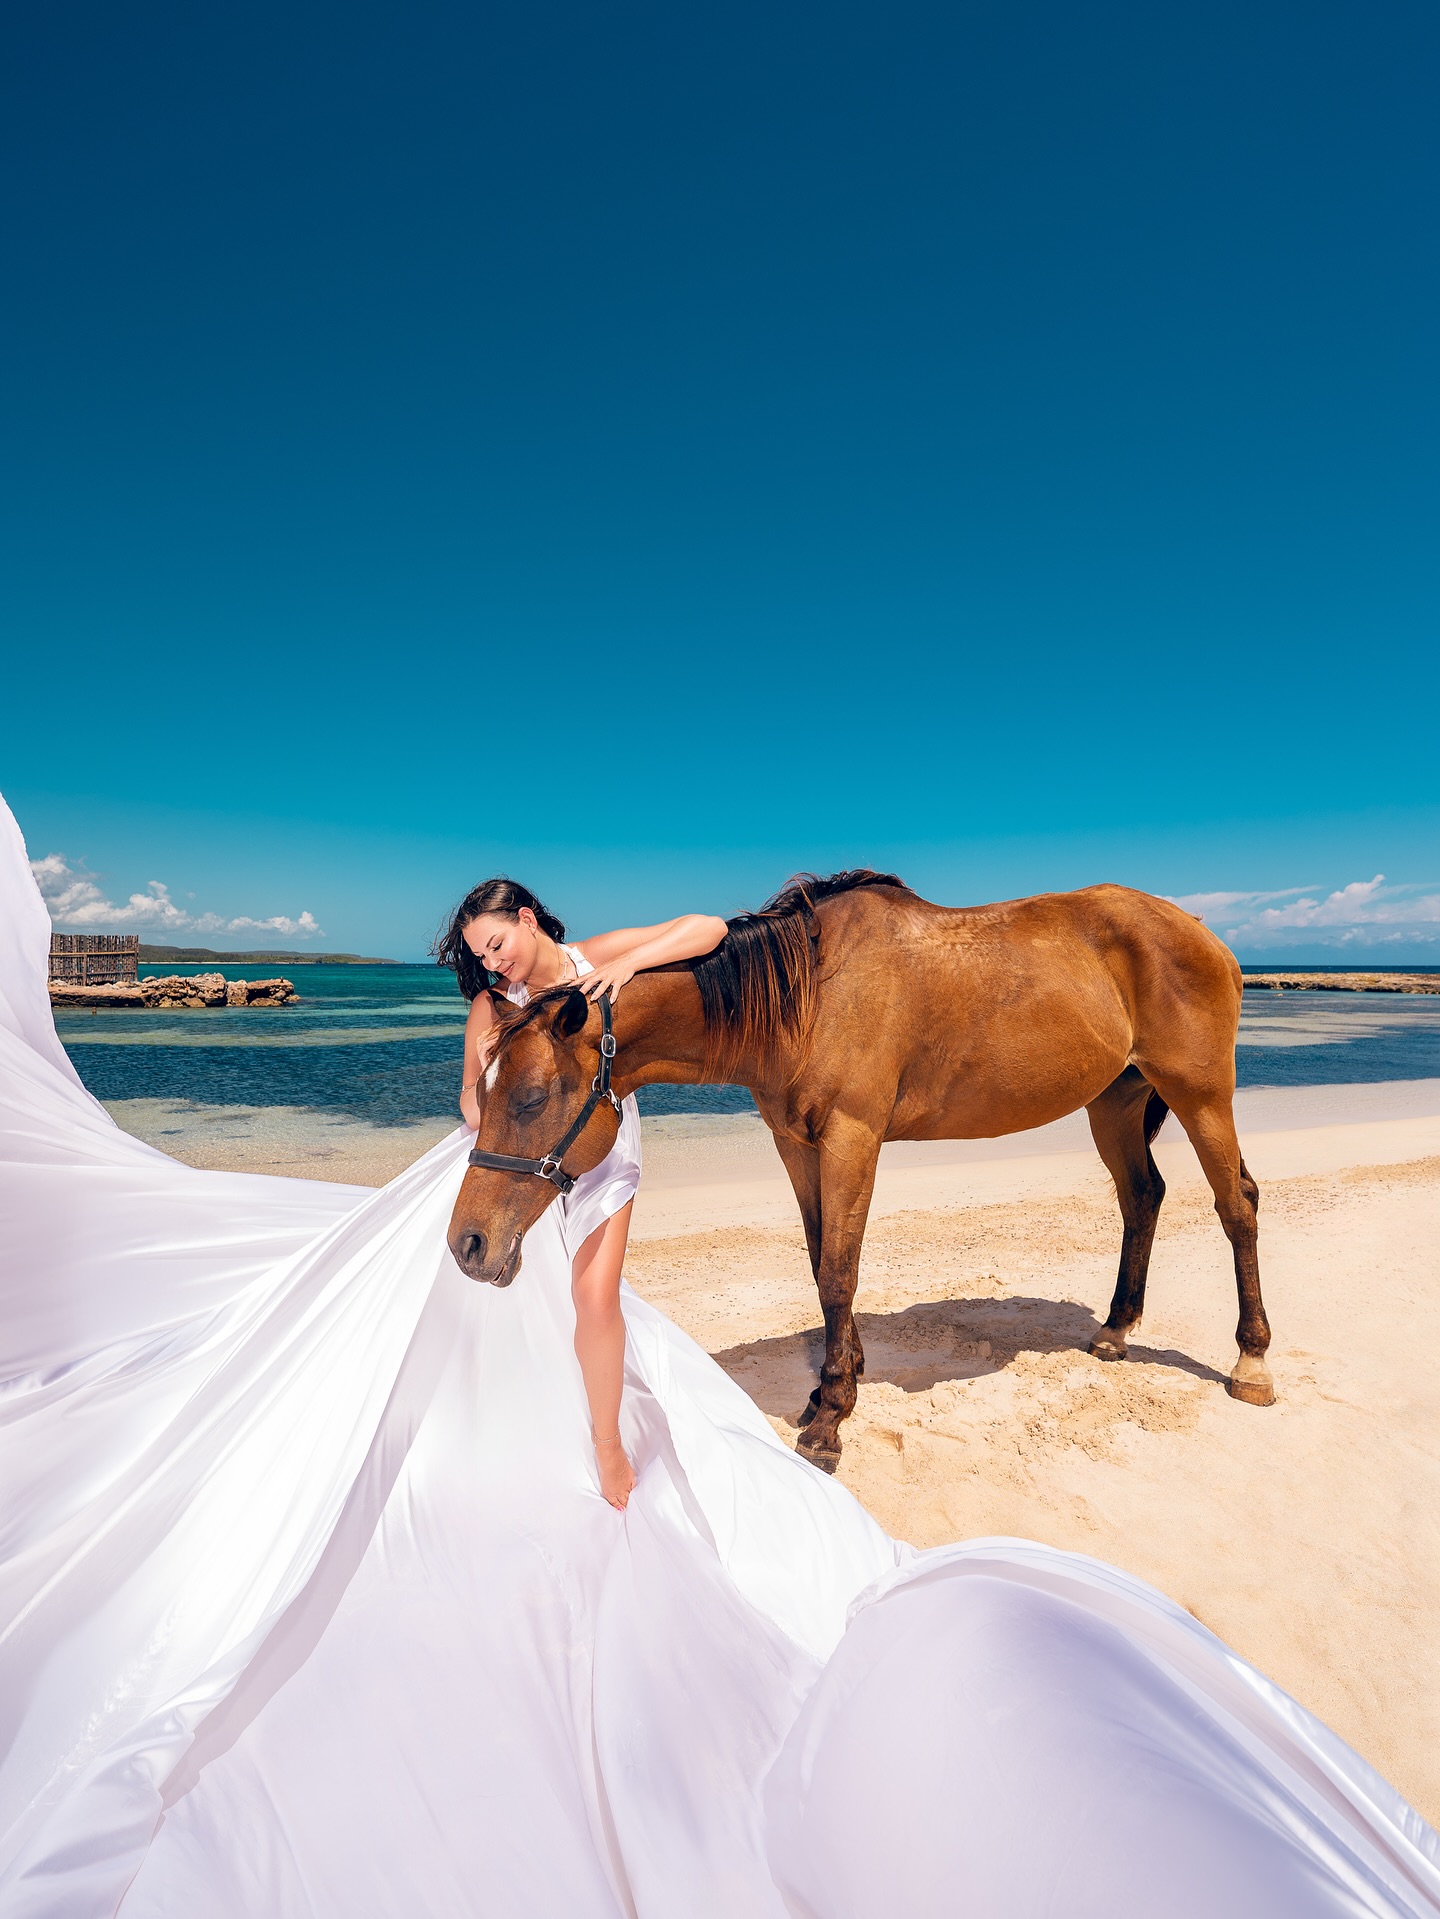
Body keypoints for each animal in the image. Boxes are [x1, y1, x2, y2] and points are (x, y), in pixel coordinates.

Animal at [447, 872, 1272, 1472]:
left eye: (529, 1096)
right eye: (480, 1093)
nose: (468, 1245)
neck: (805, 993)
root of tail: (1210, 936)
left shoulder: (852, 1138)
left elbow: (841, 1271)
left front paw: (831, 1418)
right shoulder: (796, 1143)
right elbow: (821, 1265)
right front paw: (828, 1385)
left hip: (1201, 1094)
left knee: (1237, 1204)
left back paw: (1252, 1360)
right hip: (1116, 1101)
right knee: (1142, 1196)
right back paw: (1115, 1328)